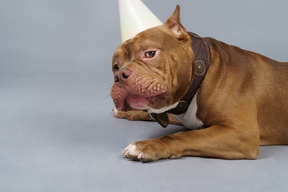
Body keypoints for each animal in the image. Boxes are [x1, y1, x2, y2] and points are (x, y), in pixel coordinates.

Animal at [110, 5, 288, 162]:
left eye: (150, 53)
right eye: (115, 67)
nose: (120, 74)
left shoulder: (240, 132)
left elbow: (186, 135)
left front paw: (147, 146)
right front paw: (129, 112)